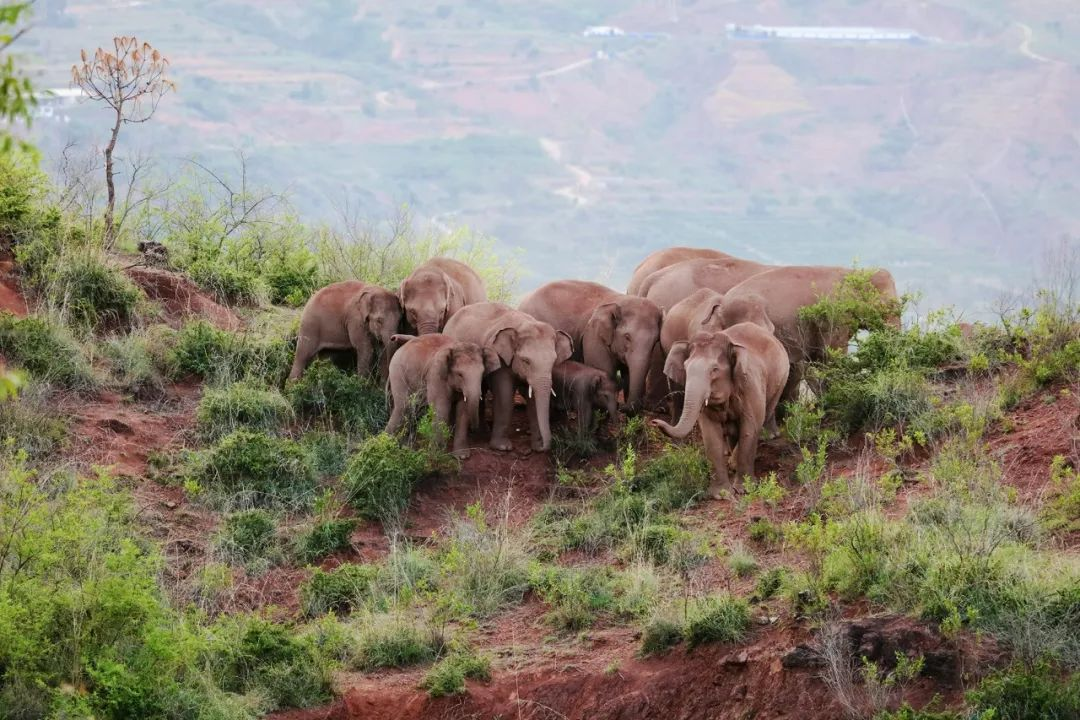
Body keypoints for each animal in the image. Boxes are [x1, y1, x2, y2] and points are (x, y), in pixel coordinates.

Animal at [440, 302, 574, 451]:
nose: (543, 446)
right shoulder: (500, 359)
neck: (523, 324)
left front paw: (536, 446)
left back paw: (482, 431)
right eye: (526, 361)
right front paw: (502, 447)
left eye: (553, 361)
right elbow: (504, 396)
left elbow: (532, 400)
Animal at [518, 282, 660, 416]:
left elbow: (628, 373)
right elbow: (604, 370)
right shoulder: (593, 336)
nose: (622, 407)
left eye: (655, 342)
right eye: (627, 337)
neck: (621, 299)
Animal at [643, 323, 790, 498]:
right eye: (685, 367)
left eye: (714, 369)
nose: (654, 421)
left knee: (764, 416)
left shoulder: (750, 385)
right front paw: (721, 495)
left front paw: (745, 490)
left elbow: (750, 427)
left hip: (780, 381)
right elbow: (711, 435)